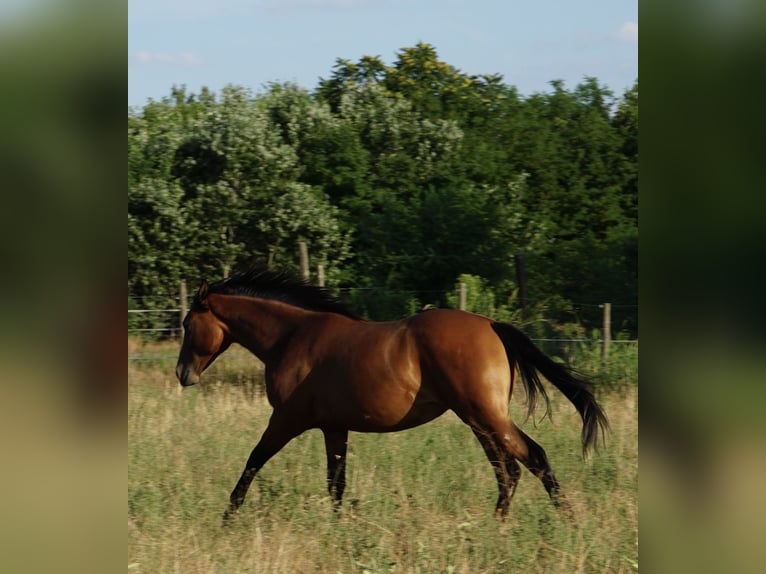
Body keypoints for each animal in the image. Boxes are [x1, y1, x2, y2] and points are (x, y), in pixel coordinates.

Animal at [175, 268, 609, 520]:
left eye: (187, 323)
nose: (183, 374)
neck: (291, 337)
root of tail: (491, 324)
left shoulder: (287, 419)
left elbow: (254, 460)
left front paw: (228, 515)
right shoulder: (334, 428)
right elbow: (336, 483)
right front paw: (339, 527)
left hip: (486, 415)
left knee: (533, 458)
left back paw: (566, 522)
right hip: (478, 419)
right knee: (509, 470)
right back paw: (498, 522)